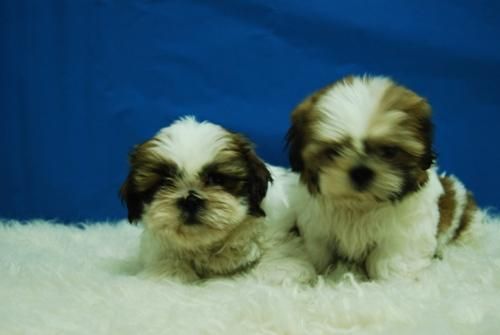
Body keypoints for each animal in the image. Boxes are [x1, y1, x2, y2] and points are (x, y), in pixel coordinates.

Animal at [119, 116, 314, 284]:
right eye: (165, 182)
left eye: (217, 179)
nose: (191, 199)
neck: (212, 243)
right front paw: (166, 274)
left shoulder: (278, 230)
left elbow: (278, 249)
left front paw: (278, 269)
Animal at [288, 76, 482, 280]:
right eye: (333, 152)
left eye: (389, 152)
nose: (360, 172)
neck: (360, 206)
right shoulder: (317, 230)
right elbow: (317, 253)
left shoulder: (404, 233)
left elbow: (392, 261)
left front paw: (391, 278)